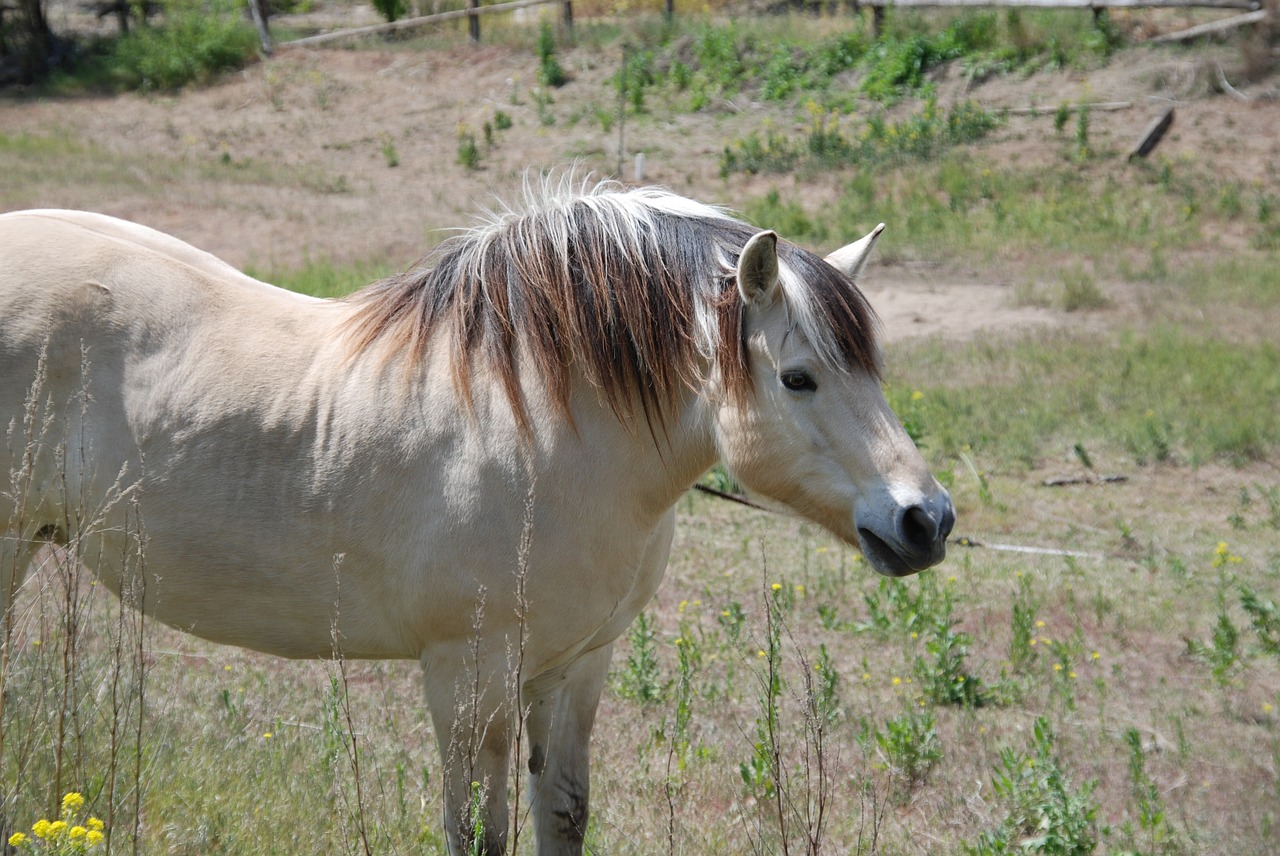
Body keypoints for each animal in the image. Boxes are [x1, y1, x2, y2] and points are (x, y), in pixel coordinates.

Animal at [0, 181, 957, 854]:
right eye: (798, 377)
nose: (926, 520)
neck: (539, 426)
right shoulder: (469, 674)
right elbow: (479, 834)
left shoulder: (574, 669)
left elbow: (562, 816)